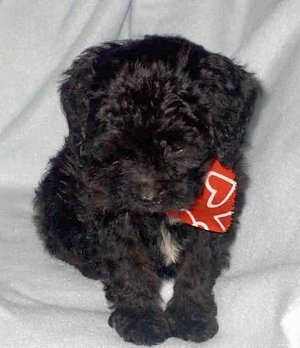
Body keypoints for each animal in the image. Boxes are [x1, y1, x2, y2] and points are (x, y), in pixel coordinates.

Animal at [34, 35, 258, 346]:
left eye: (177, 147)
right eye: (116, 145)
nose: (147, 196)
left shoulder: (213, 214)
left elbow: (198, 266)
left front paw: (190, 316)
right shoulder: (109, 210)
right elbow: (129, 265)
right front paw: (141, 319)